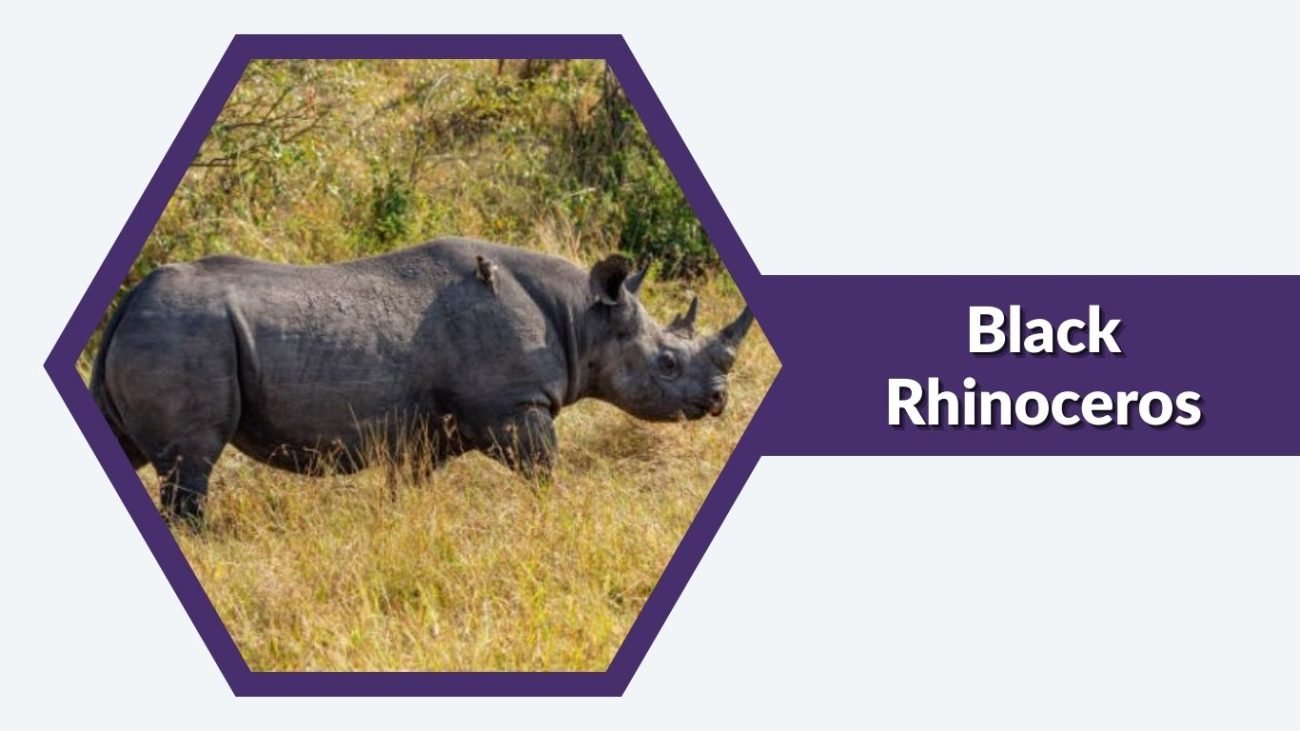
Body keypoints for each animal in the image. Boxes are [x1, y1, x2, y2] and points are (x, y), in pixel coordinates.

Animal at [90, 237, 754, 521]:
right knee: (191, 464)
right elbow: (543, 471)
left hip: (163, 330)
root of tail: (128, 304)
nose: (719, 400)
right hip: (183, 333)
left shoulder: (427, 429)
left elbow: (406, 486)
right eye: (666, 363)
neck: (581, 317)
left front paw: (398, 529)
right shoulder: (513, 406)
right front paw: (554, 518)